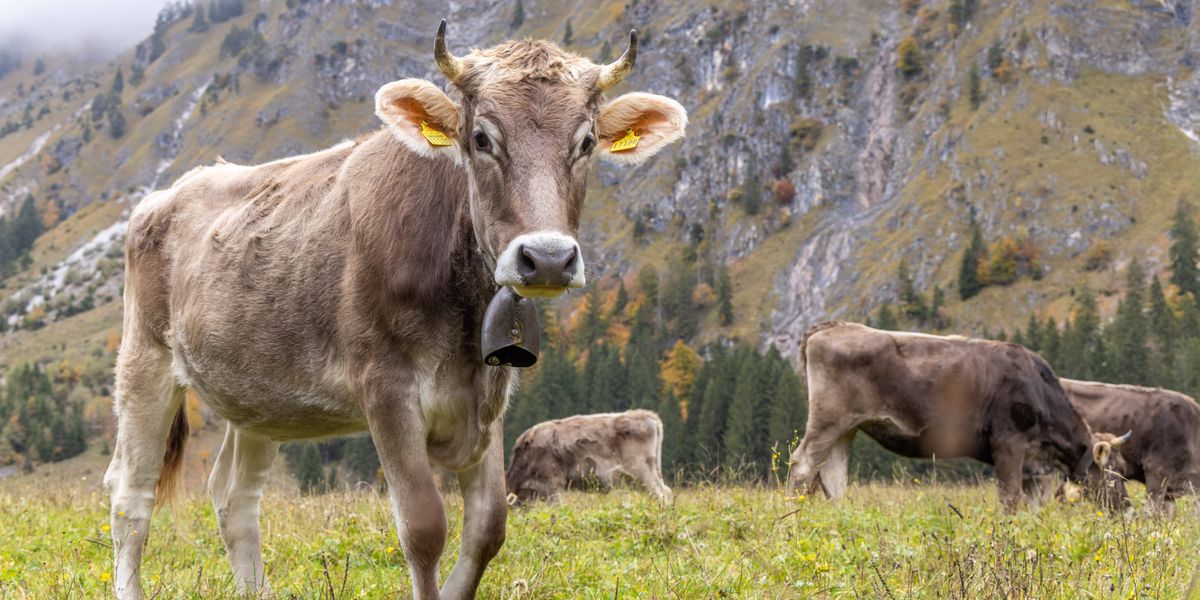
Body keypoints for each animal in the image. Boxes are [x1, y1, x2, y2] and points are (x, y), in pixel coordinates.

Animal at [506, 410, 672, 504]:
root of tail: (648, 415)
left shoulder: (553, 483)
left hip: (641, 470)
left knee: (661, 495)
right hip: (651, 471)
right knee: (666, 491)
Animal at [785, 322, 1112, 509]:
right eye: (1115, 476)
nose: (1123, 511)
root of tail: (831, 326)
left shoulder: (1034, 465)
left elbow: (1033, 504)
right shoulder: (1008, 442)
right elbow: (1009, 497)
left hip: (847, 427)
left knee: (832, 473)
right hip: (829, 419)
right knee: (804, 464)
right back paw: (793, 513)